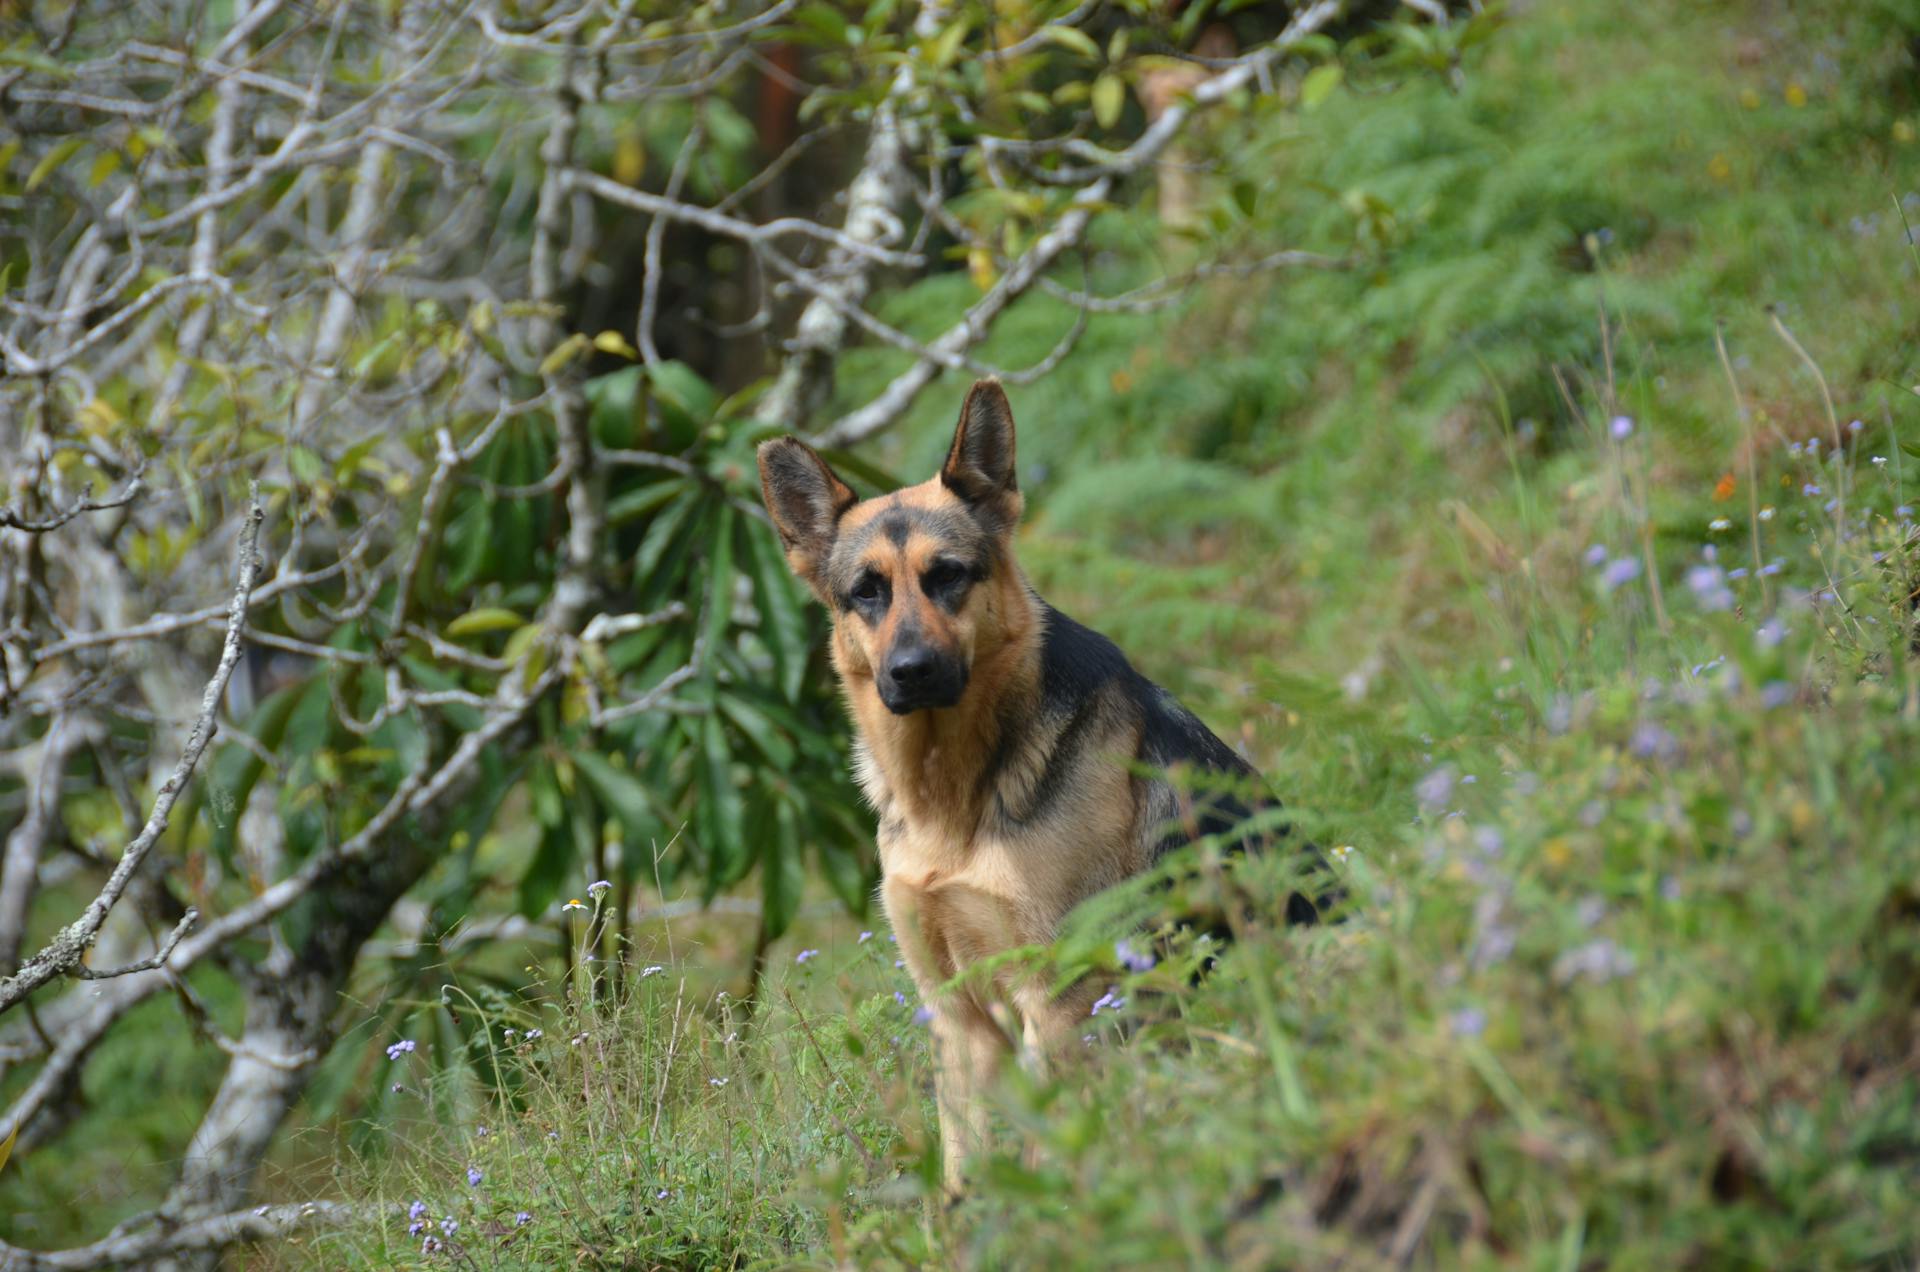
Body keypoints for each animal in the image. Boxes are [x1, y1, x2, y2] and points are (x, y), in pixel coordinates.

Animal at [764, 378, 1320, 1198]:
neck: (954, 800)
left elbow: (1057, 1155)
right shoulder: (960, 1021)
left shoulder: (1060, 1003)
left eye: (948, 575)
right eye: (865, 592)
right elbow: (966, 1168)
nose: (911, 673)